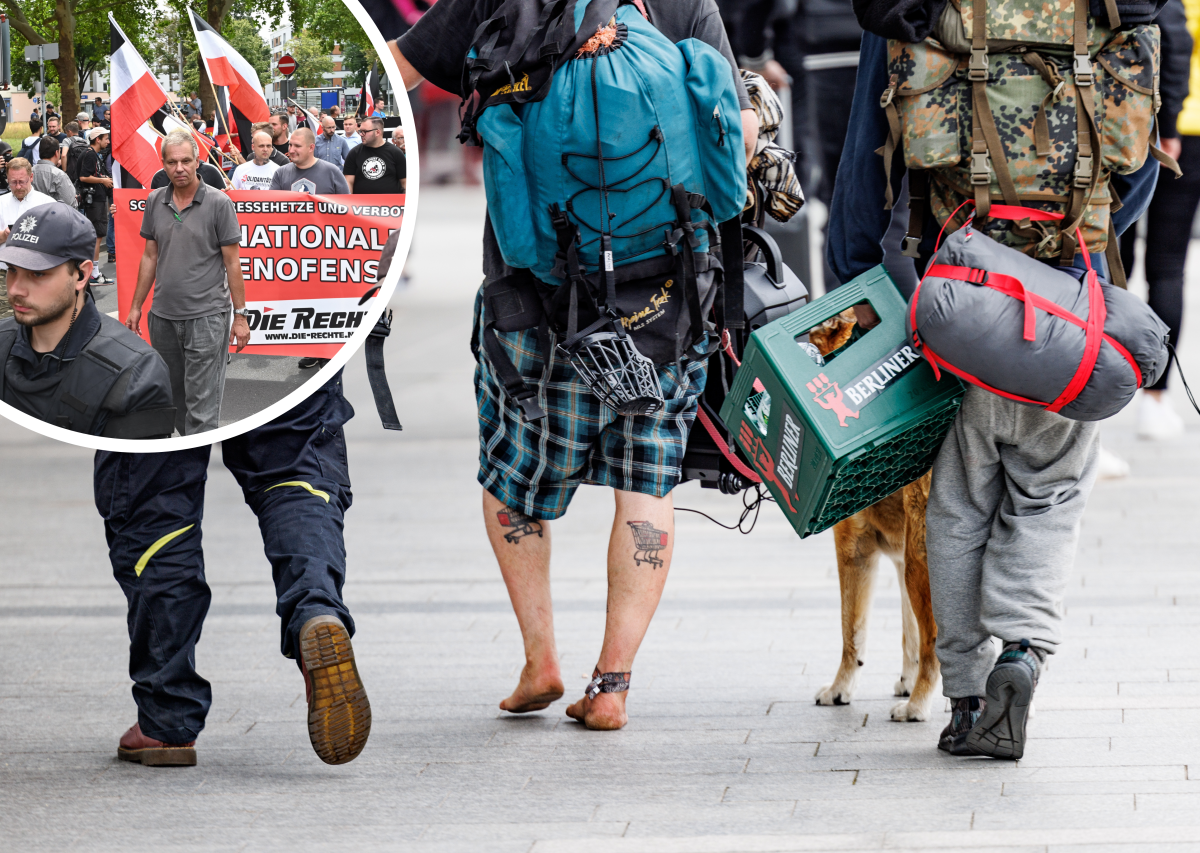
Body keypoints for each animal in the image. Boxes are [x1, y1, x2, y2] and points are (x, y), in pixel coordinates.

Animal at [806, 311, 936, 719]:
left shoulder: (855, 550)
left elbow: (852, 633)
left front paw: (840, 689)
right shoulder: (899, 560)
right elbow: (909, 633)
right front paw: (906, 679)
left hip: (922, 561)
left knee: (936, 643)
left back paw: (918, 705)